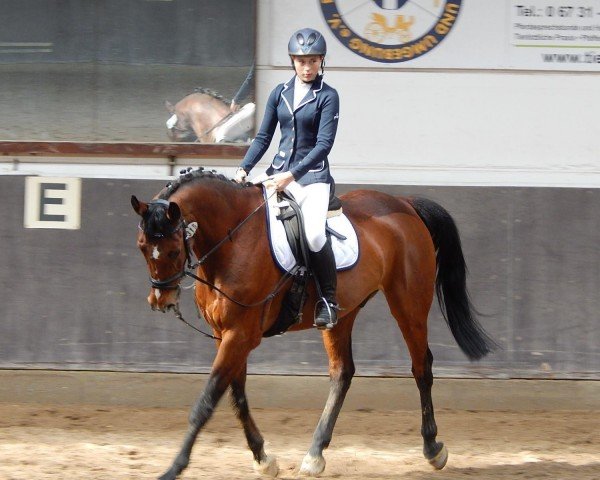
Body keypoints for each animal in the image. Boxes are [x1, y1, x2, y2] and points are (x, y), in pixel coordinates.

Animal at [131, 168, 492, 480]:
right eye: (142, 247)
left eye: (173, 249)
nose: (160, 300)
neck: (233, 241)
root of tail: (404, 204)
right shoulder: (224, 336)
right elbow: (237, 398)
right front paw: (263, 459)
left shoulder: (241, 335)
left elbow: (206, 402)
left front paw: (173, 468)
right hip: (342, 314)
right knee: (342, 372)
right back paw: (315, 453)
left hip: (409, 303)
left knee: (421, 367)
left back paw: (433, 448)